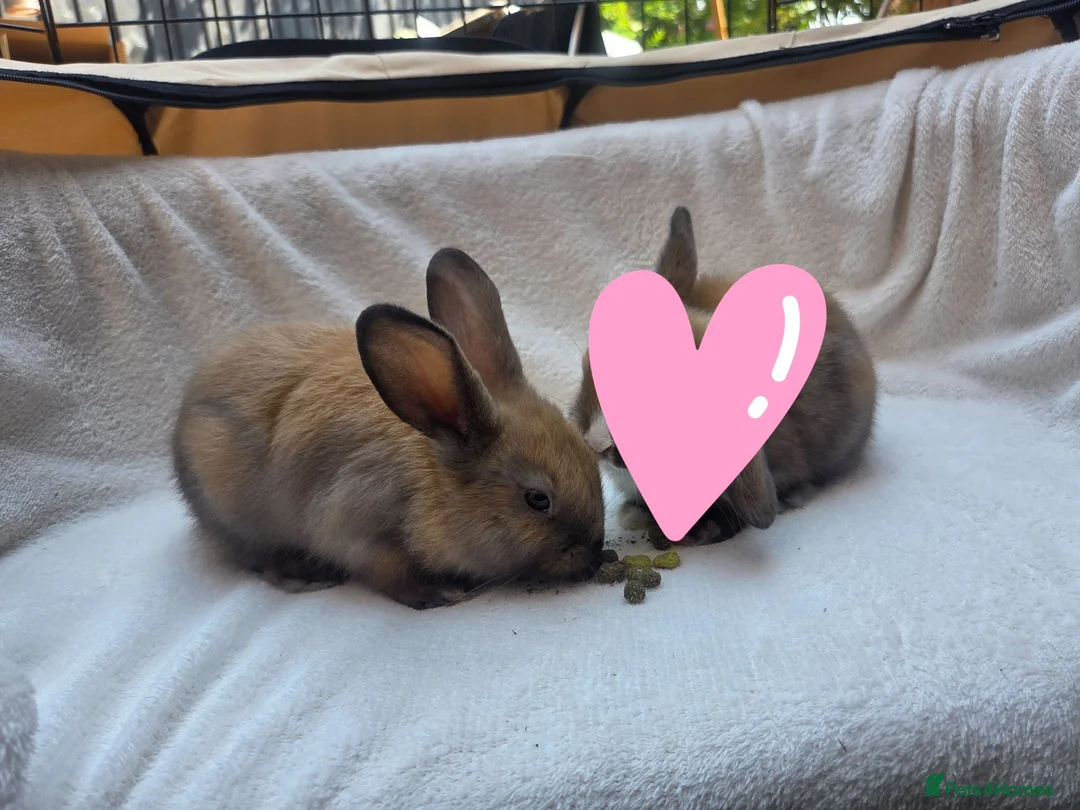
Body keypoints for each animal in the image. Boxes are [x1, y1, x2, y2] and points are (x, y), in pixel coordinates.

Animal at [172, 247, 607, 610]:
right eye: (537, 499)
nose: (594, 551)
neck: (434, 479)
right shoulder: (361, 531)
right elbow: (389, 575)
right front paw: (441, 592)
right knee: (253, 555)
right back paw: (303, 575)